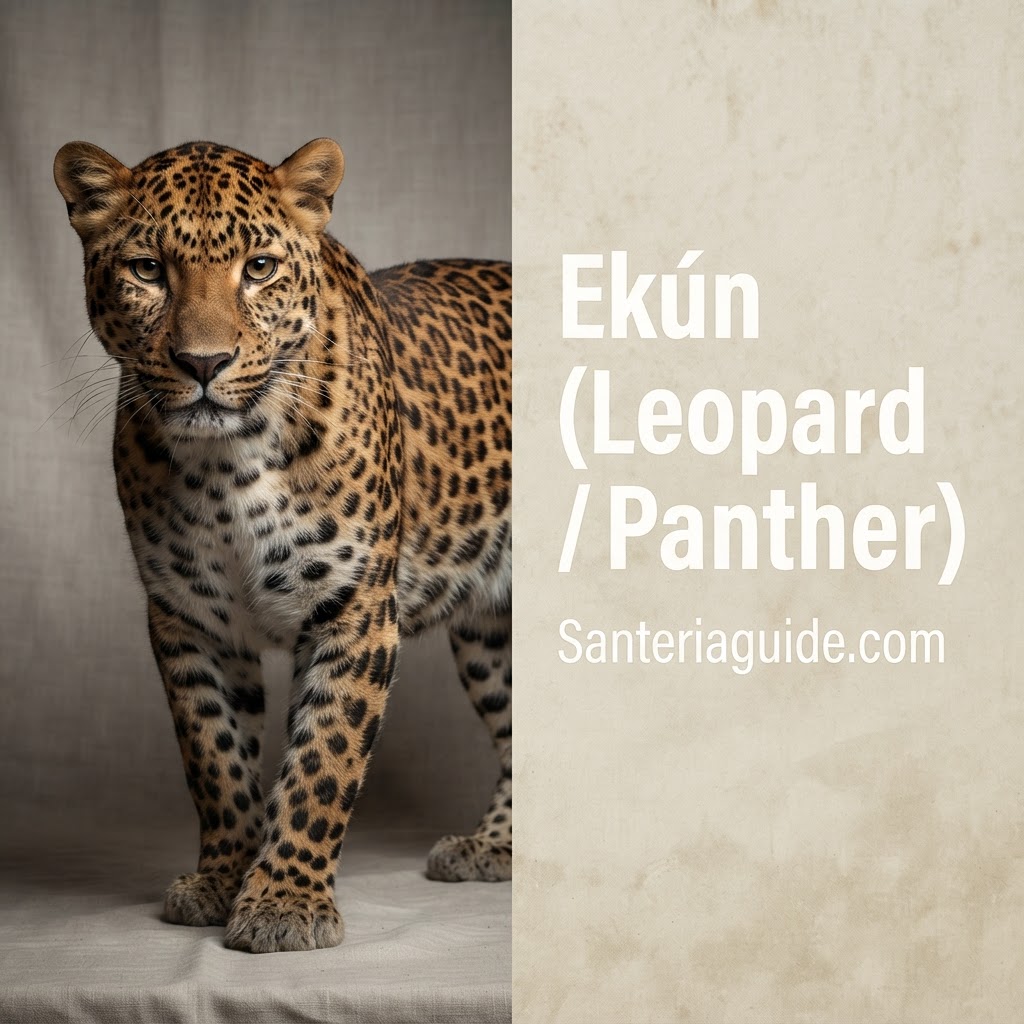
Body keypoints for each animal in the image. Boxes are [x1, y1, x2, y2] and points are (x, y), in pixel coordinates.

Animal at [52, 138, 511, 953]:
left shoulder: (354, 609)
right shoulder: (188, 620)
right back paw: (492, 848)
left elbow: (324, 759)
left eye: (259, 267)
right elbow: (215, 758)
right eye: (148, 269)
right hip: (492, 630)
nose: (204, 363)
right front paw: (221, 880)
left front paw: (285, 903)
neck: (226, 465)